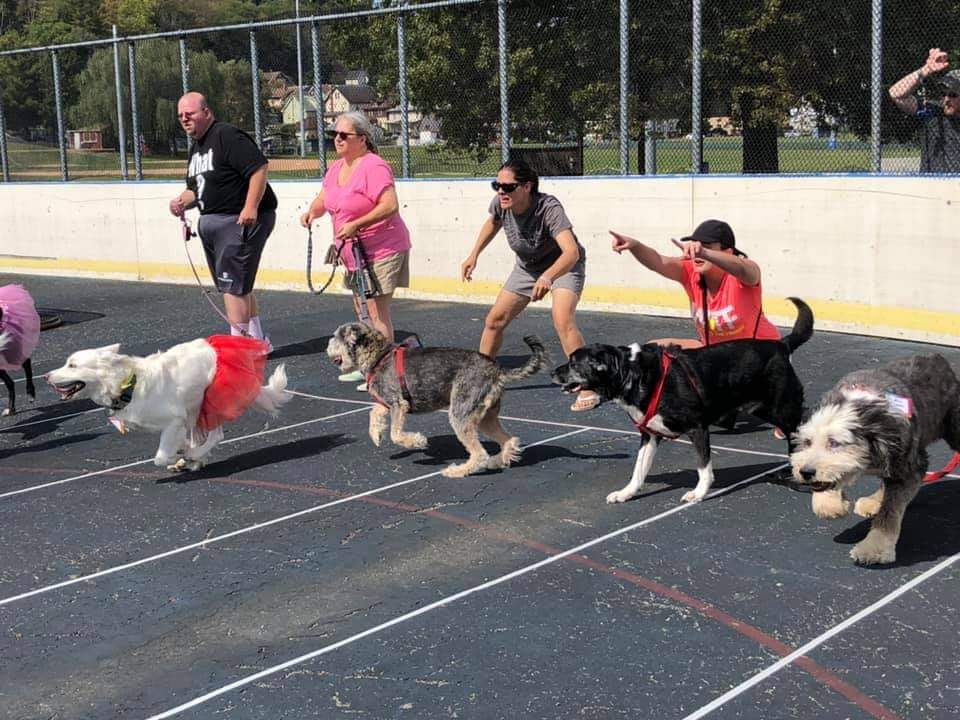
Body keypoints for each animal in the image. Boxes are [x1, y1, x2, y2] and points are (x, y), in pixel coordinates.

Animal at [47, 338, 288, 472]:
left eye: (72, 365)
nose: (47, 376)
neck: (129, 385)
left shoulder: (175, 420)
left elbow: (160, 457)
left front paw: (182, 453)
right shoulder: (181, 420)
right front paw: (183, 450)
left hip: (211, 400)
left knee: (216, 435)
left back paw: (194, 455)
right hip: (196, 407)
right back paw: (195, 458)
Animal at [326, 324, 544, 476]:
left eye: (335, 337)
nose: (327, 346)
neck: (379, 356)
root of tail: (496, 370)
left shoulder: (398, 404)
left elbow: (396, 434)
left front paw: (418, 441)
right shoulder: (386, 403)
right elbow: (374, 413)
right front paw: (376, 434)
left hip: (460, 414)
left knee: (480, 454)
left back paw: (457, 471)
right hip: (484, 417)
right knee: (509, 440)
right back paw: (499, 460)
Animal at [552, 298, 812, 506]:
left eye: (574, 363)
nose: (552, 373)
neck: (632, 374)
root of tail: (781, 345)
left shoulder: (697, 428)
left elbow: (703, 467)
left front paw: (698, 493)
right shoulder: (650, 435)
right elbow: (638, 470)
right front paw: (625, 493)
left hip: (781, 409)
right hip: (763, 408)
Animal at [788, 354, 960, 568]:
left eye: (834, 443)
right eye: (807, 442)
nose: (806, 472)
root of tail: (936, 358)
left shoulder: (908, 466)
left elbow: (890, 512)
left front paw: (874, 549)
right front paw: (831, 505)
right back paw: (872, 502)